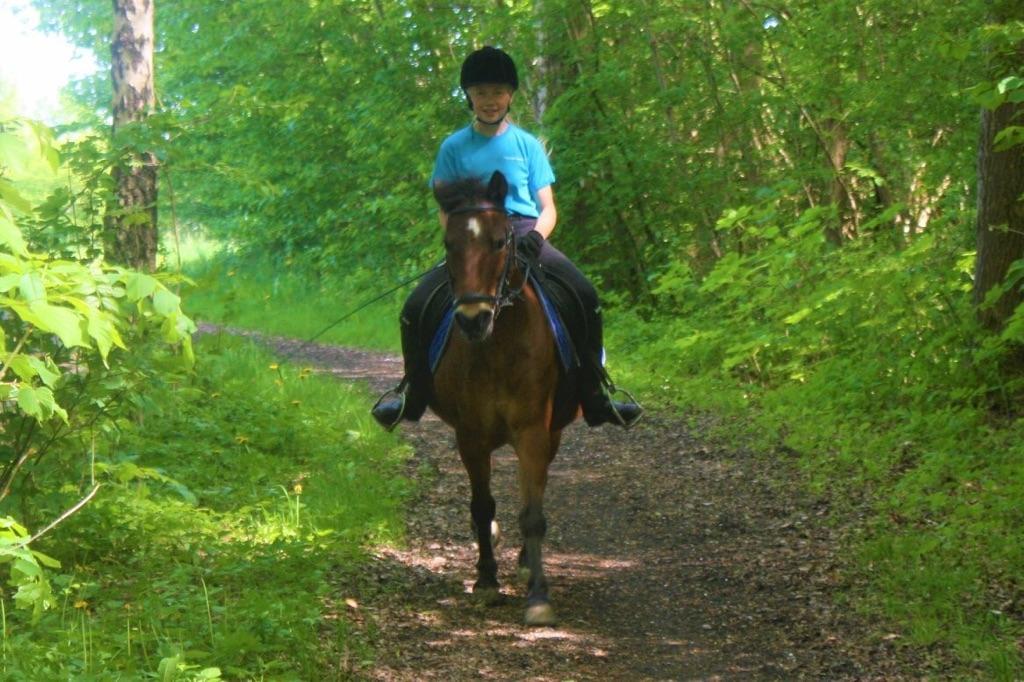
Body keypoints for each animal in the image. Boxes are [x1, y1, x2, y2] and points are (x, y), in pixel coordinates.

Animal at [428, 168, 581, 622]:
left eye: (500, 242)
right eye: (449, 244)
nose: (472, 320)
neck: (498, 345)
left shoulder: (533, 430)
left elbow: (532, 513)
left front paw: (539, 596)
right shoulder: (471, 436)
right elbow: (482, 508)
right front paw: (485, 580)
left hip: (550, 433)